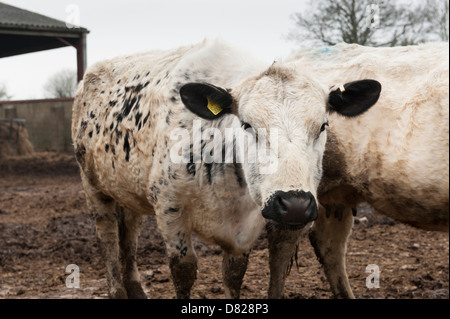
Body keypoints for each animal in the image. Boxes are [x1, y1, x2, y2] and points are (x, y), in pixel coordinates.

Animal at [71, 38, 380, 298]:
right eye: (247, 124)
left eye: (323, 125)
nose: (294, 205)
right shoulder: (169, 207)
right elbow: (183, 270)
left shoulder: (245, 228)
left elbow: (234, 274)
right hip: (92, 186)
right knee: (108, 238)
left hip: (128, 192)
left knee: (129, 236)